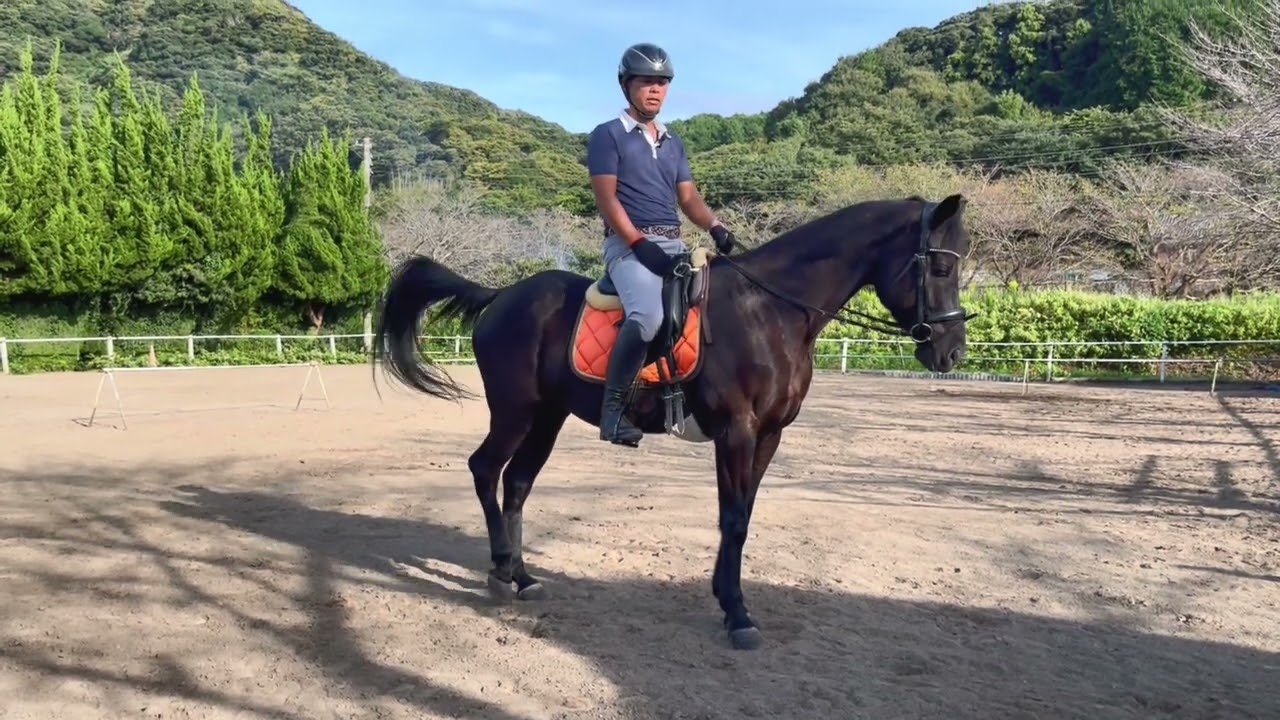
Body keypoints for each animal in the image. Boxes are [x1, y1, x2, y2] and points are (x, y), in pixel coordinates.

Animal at [372, 193, 975, 650]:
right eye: (941, 266)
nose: (951, 353)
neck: (769, 311)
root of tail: (502, 295)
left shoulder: (769, 436)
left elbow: (742, 516)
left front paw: (726, 598)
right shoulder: (737, 430)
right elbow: (733, 518)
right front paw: (738, 615)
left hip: (547, 417)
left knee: (516, 482)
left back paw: (520, 576)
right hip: (515, 411)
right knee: (484, 469)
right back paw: (500, 569)